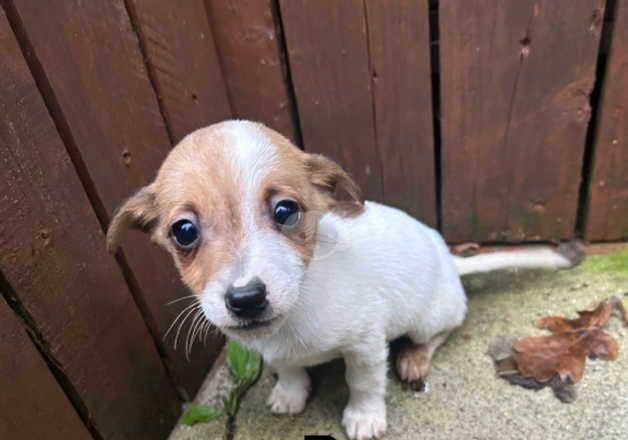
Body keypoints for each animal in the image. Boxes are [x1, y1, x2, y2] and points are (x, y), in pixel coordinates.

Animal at [105, 120, 580, 440]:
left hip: (428, 318)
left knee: (441, 332)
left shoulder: (365, 345)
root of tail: (449, 259)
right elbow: (287, 369)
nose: (246, 299)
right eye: (183, 231)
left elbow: (364, 383)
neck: (300, 305)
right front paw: (291, 394)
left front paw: (365, 418)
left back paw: (415, 358)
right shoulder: (275, 350)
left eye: (286, 211)